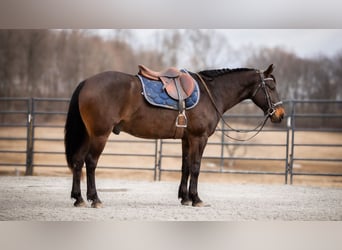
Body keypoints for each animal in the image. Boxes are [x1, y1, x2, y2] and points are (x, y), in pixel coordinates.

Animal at [65, 64, 286, 207]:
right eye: (272, 87)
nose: (280, 114)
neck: (211, 93)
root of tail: (87, 82)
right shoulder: (199, 138)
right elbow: (196, 167)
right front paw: (196, 199)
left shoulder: (186, 139)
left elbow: (185, 166)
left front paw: (185, 197)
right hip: (100, 135)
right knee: (90, 162)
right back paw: (95, 199)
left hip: (88, 134)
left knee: (78, 161)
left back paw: (78, 199)